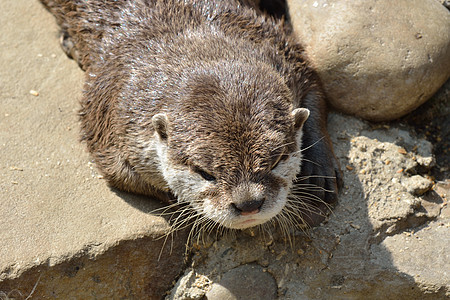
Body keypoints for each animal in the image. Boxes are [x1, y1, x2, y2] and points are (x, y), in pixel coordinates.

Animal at [39, 0, 342, 230]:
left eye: (277, 161)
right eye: (204, 173)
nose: (248, 204)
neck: (189, 32)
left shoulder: (282, 49)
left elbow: (315, 89)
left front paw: (320, 169)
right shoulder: (107, 115)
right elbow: (119, 173)